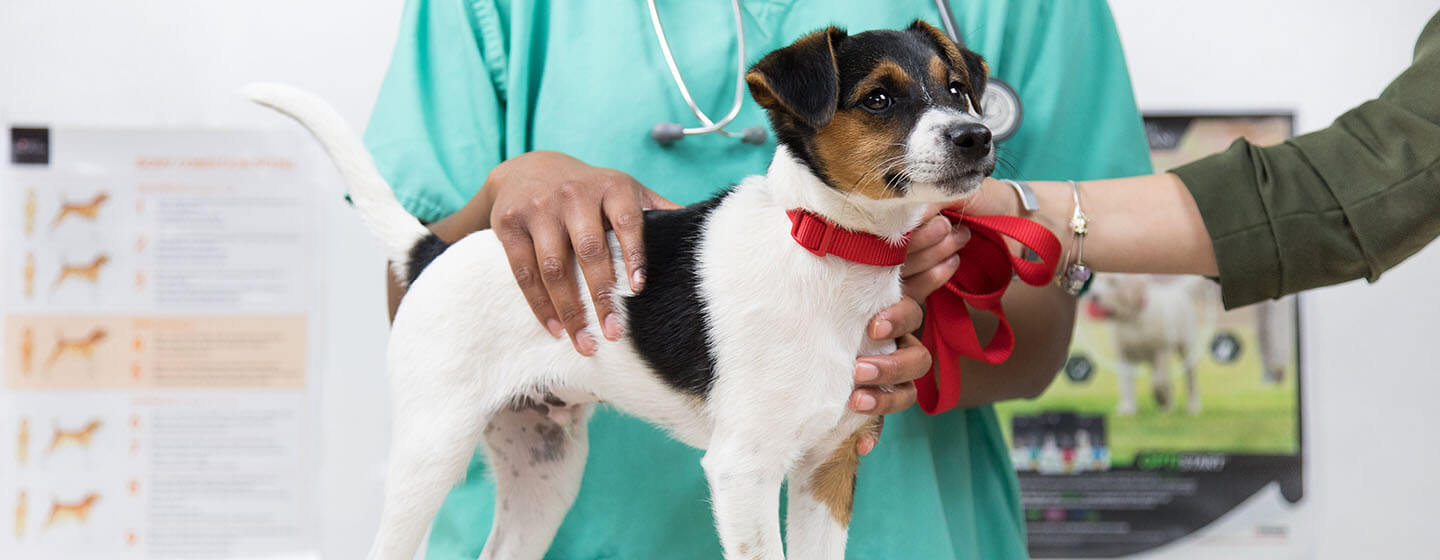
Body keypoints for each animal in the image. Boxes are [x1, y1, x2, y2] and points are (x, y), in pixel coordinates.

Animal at [250, 21, 990, 558]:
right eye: (879, 99)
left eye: (957, 89)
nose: (977, 135)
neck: (826, 246)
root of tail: (436, 250)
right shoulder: (743, 470)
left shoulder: (827, 466)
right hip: (431, 447)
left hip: (542, 462)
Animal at [1088, 272, 1215, 411]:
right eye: (1096, 281)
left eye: (1113, 282)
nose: (1093, 296)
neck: (1132, 319)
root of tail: (1176, 290)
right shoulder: (1123, 354)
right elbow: (1126, 383)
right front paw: (1128, 407)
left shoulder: (1162, 350)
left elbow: (1159, 381)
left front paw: (1161, 398)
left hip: (1186, 350)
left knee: (1190, 380)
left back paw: (1192, 406)